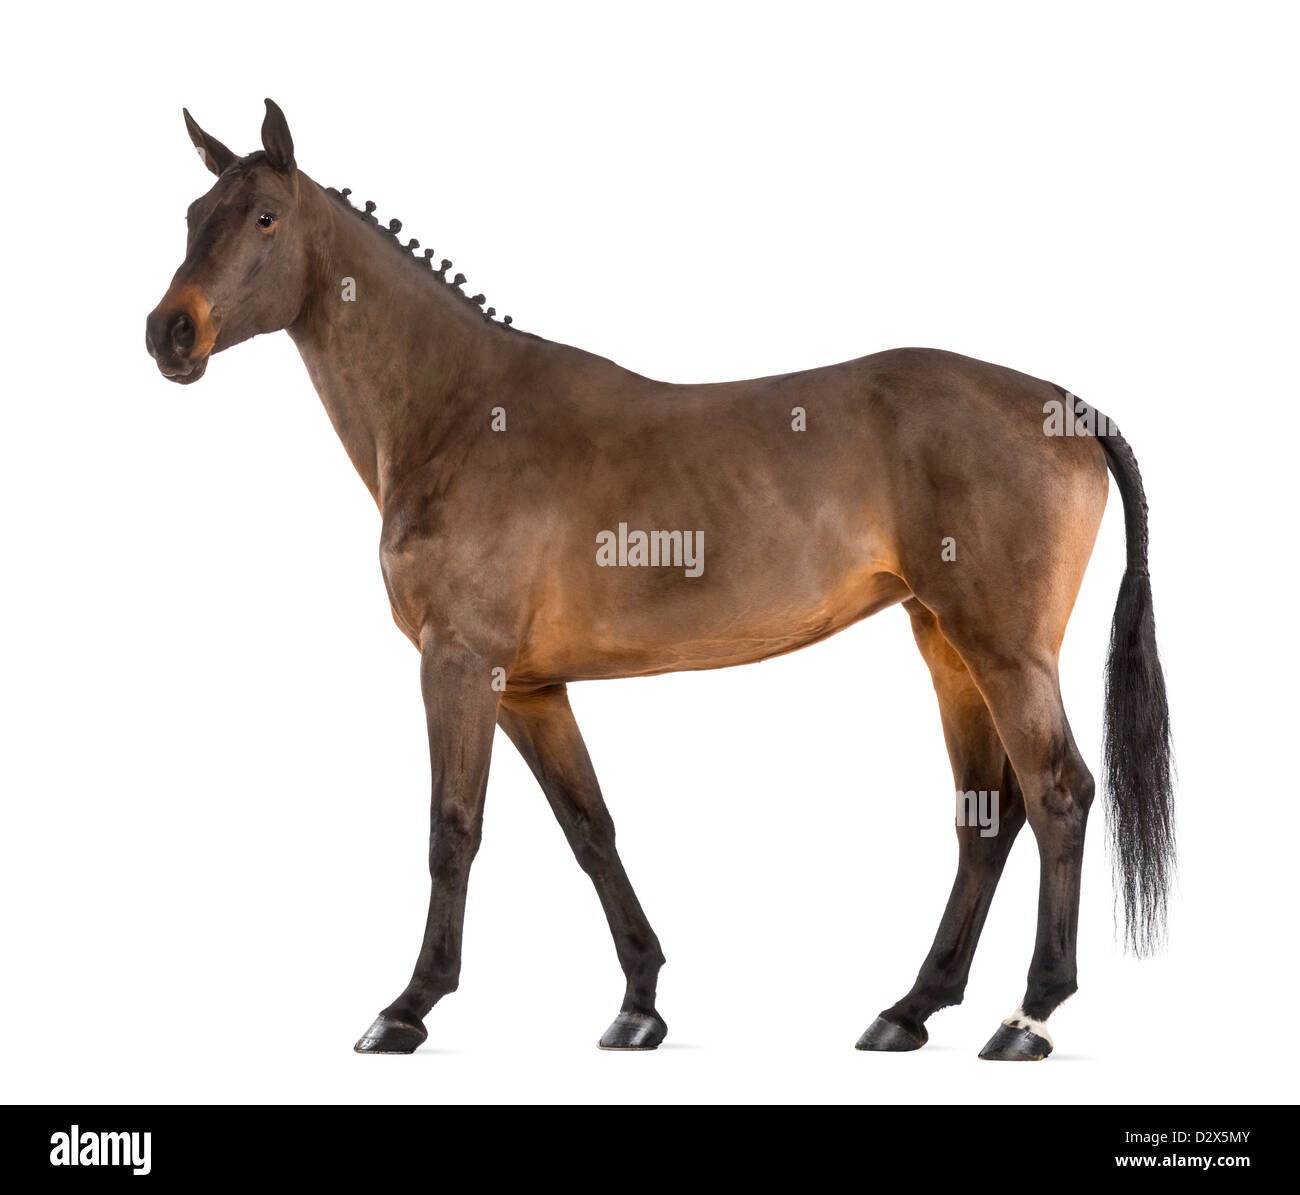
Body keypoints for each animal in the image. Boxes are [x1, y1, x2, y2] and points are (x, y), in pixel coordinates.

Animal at [147, 100, 1175, 1055]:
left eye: (266, 216)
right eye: (196, 212)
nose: (169, 334)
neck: (461, 414)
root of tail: (1067, 409)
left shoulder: (460, 665)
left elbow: (453, 828)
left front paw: (407, 1007)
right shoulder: (530, 688)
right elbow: (590, 828)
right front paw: (639, 1002)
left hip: (1006, 652)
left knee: (1058, 795)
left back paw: (1028, 1016)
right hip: (947, 646)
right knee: (985, 818)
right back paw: (909, 1008)